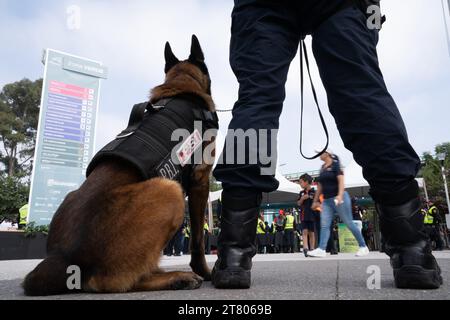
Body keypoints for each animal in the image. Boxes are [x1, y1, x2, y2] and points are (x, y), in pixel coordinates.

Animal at [22, 35, 216, 296]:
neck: (182, 86)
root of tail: (63, 258)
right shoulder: (200, 180)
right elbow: (197, 240)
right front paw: (206, 271)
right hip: (169, 190)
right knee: (118, 281)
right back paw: (177, 277)